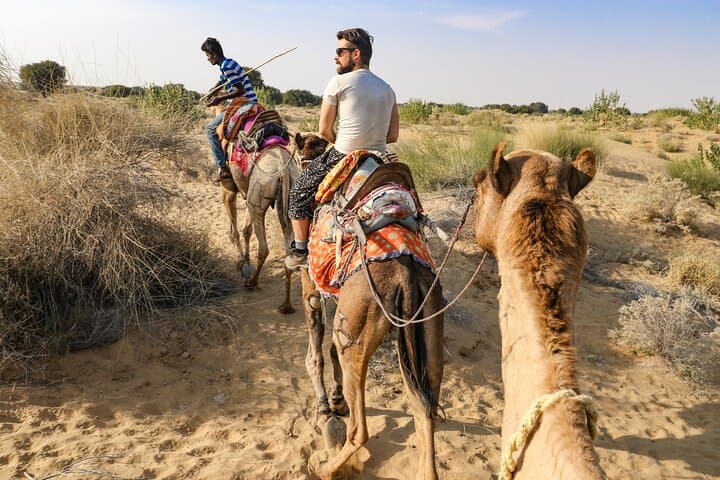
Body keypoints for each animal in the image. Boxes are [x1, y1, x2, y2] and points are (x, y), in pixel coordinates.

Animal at [294, 133, 445, 480]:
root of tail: (406, 273)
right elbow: (329, 352)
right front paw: (336, 400)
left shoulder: (311, 288)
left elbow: (316, 353)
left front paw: (325, 406)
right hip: (428, 325)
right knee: (425, 410)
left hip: (360, 333)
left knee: (360, 429)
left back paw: (326, 467)